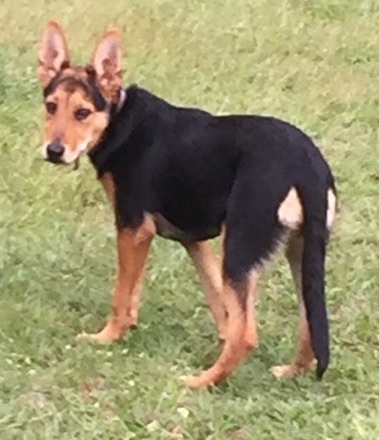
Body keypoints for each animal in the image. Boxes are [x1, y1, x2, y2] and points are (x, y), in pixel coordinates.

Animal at [36, 21, 338, 388]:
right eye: (51, 106)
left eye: (82, 113)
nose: (53, 151)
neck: (119, 118)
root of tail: (307, 165)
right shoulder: (192, 241)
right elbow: (215, 302)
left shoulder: (133, 228)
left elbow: (122, 296)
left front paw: (106, 337)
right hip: (301, 251)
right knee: (308, 321)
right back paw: (290, 371)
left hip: (241, 248)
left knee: (247, 335)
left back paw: (201, 382)